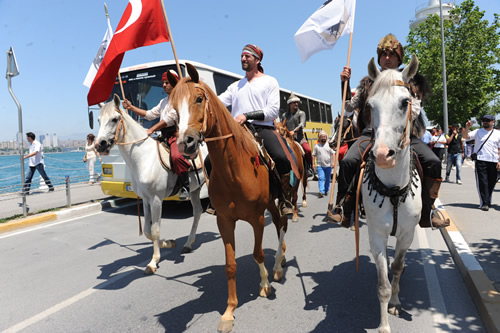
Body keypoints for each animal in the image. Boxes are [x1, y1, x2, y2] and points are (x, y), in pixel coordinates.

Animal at [94, 93, 208, 272]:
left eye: (114, 119)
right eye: (98, 120)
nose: (99, 144)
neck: (144, 158)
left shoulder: (156, 200)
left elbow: (154, 230)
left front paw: (153, 261)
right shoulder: (146, 200)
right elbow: (148, 231)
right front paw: (168, 243)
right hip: (195, 189)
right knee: (197, 212)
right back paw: (188, 244)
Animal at [166, 63, 288, 330]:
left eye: (199, 98)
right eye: (173, 108)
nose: (185, 143)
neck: (235, 170)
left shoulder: (256, 219)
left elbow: (257, 253)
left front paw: (264, 285)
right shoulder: (224, 221)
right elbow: (230, 265)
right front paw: (229, 311)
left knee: (283, 223)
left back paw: (276, 266)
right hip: (270, 205)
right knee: (279, 223)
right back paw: (280, 261)